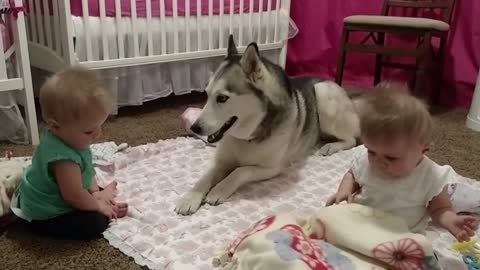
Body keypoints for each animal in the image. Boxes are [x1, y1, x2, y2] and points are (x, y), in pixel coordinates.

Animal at [174, 35, 358, 215]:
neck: (247, 138)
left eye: (222, 98)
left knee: (352, 140)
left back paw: (330, 146)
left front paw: (219, 189)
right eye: (207, 94)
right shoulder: (221, 163)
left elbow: (241, 170)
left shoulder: (272, 168)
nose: (195, 128)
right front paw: (190, 198)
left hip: (323, 95)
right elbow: (205, 177)